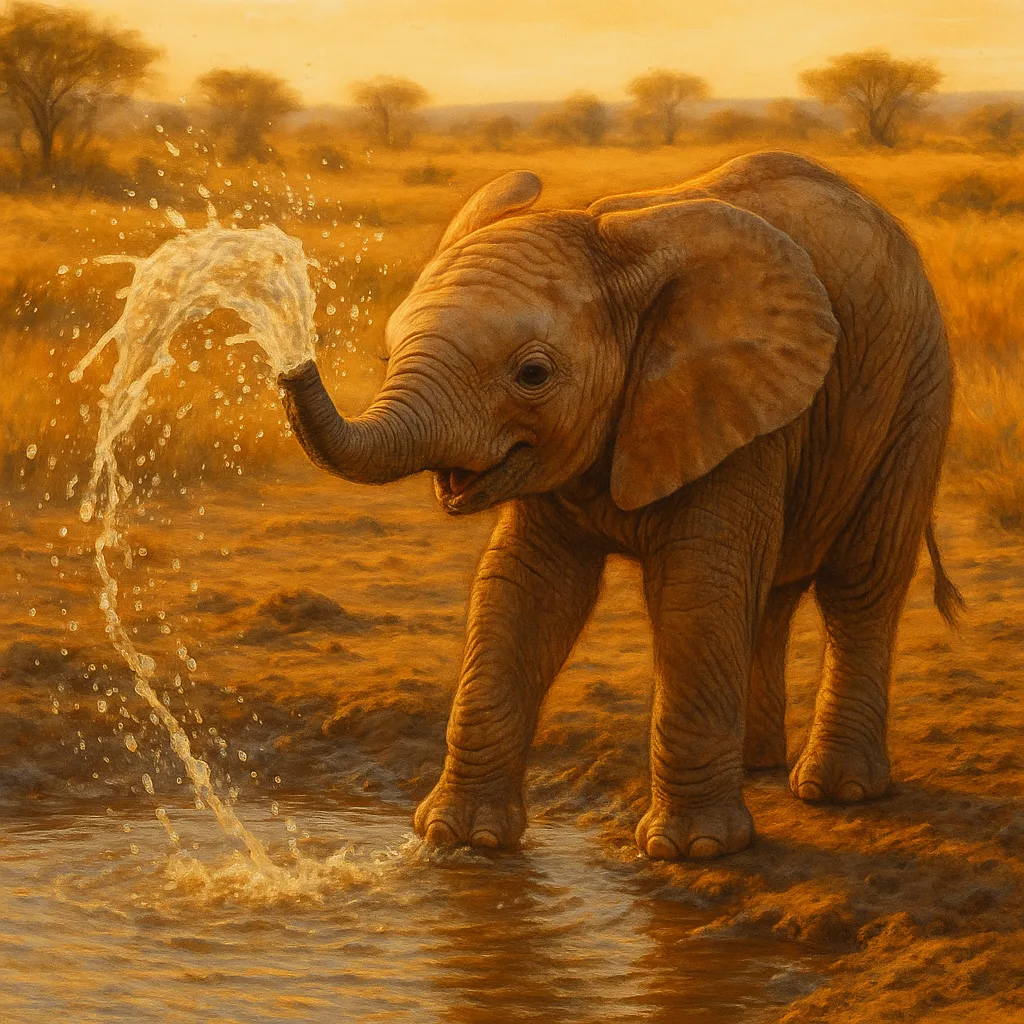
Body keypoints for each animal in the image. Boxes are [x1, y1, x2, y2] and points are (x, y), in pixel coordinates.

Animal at [277, 151, 962, 860]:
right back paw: (758, 767)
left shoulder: (733, 408)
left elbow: (697, 588)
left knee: (860, 584)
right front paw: (462, 839)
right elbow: (524, 586)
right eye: (388, 355)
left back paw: (837, 791)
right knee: (769, 592)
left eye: (532, 375)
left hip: (916, 391)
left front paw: (692, 851)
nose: (289, 360)